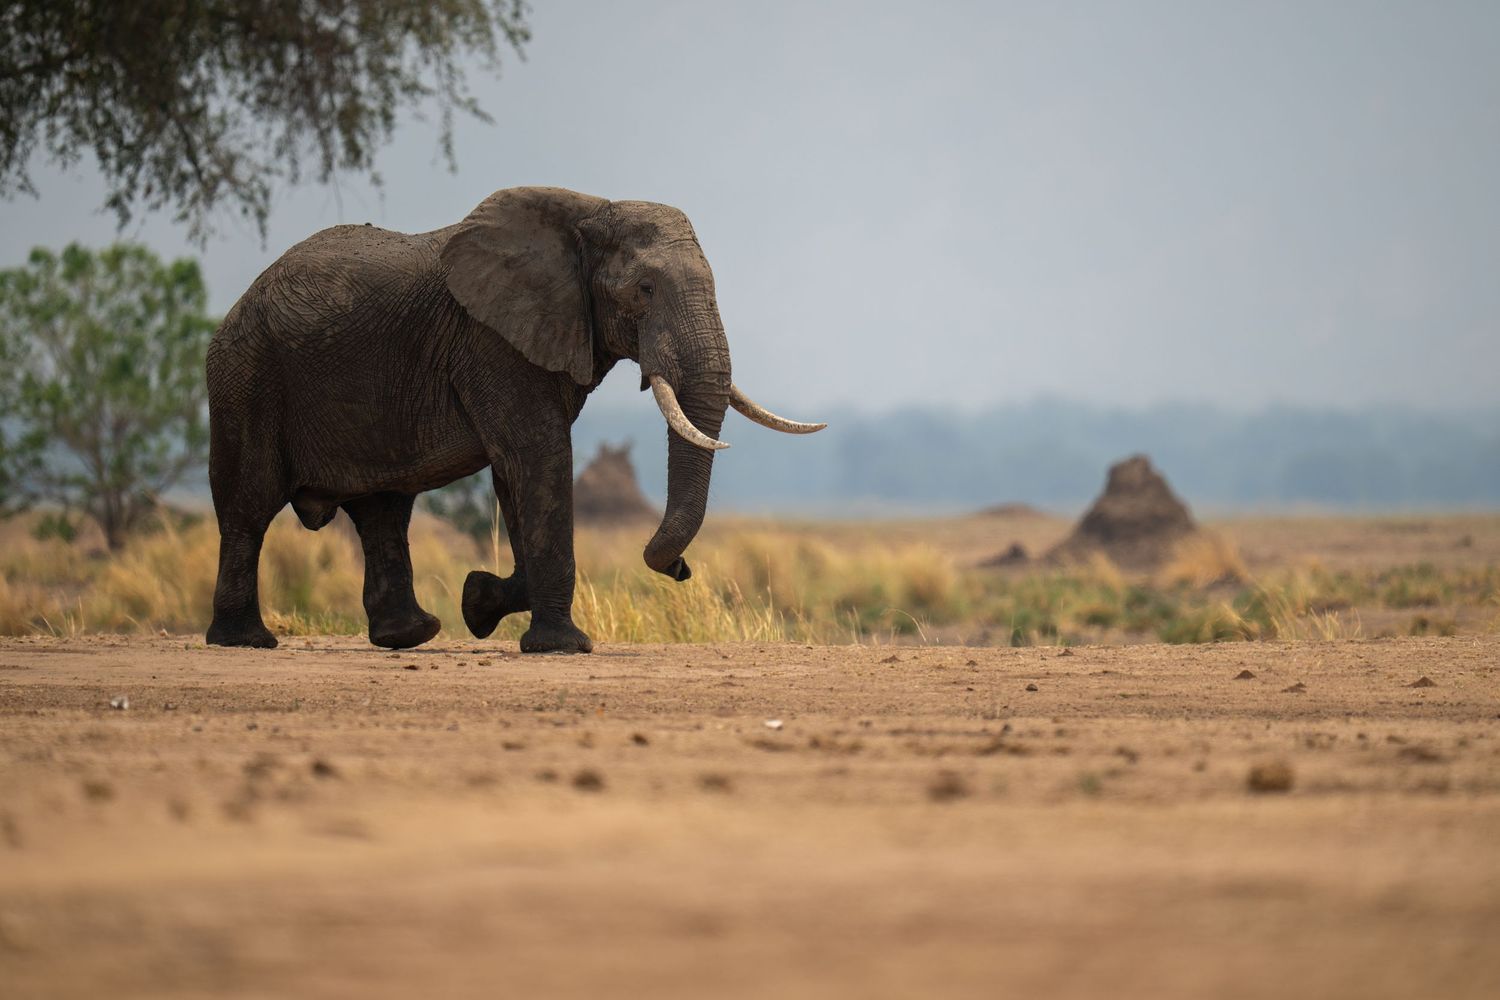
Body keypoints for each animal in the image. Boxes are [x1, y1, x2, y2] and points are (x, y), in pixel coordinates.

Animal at [204, 187, 824, 654]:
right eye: (644, 290)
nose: (681, 569)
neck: (587, 212)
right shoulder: (490, 341)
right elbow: (539, 457)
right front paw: (563, 647)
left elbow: (514, 474)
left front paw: (478, 602)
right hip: (246, 376)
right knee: (249, 504)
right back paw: (246, 640)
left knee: (382, 510)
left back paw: (411, 635)